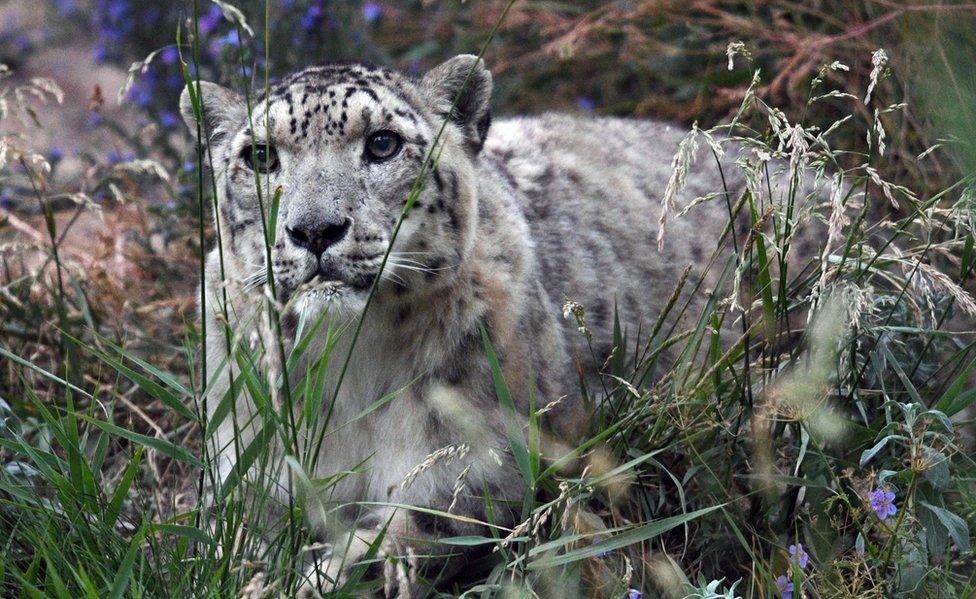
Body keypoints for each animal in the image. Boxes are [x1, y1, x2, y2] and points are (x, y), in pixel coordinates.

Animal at [177, 55, 800, 596]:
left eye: (382, 143)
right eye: (259, 156)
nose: (313, 230)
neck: (352, 368)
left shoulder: (485, 469)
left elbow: (388, 544)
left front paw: (306, 581)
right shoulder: (247, 471)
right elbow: (226, 542)